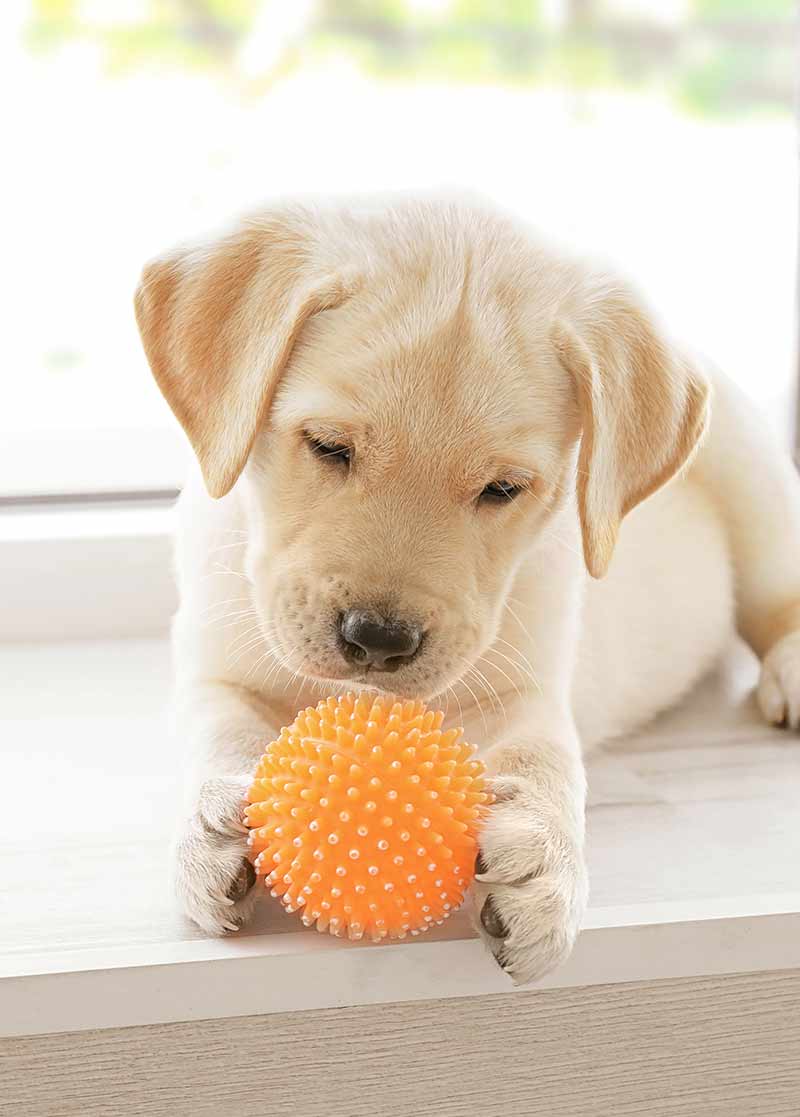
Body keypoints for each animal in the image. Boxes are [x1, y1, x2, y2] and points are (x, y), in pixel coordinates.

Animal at [134, 196, 799, 982]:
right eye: (328, 446)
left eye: (502, 489)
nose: (377, 641)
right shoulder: (214, 665)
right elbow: (221, 731)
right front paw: (211, 828)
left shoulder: (530, 685)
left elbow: (544, 759)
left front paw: (543, 863)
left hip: (758, 483)